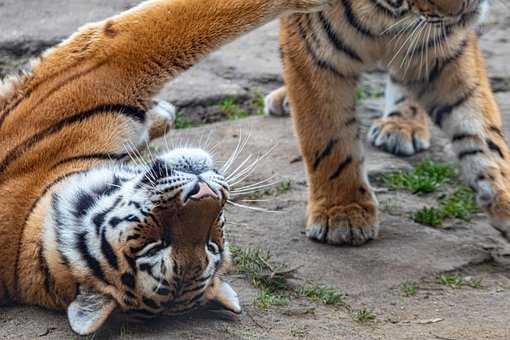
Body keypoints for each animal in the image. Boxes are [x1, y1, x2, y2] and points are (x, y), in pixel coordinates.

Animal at [0, 0, 330, 334]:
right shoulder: (106, 66)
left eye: (212, 244)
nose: (205, 191)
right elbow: (191, 19)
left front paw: (162, 114)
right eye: (154, 245)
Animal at [264, 0, 508, 244]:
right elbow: (329, 139)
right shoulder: (313, 51)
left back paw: (403, 125)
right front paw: (342, 211)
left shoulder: (445, 49)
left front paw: (504, 202)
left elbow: (481, 130)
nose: (464, 9)